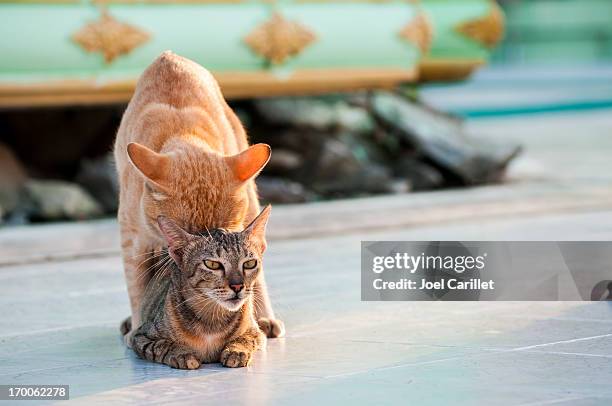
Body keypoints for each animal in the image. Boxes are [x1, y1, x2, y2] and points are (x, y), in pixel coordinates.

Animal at [113, 49, 284, 344]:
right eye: (181, 233)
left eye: (222, 232)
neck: (183, 131)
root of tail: (168, 55)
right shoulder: (133, 239)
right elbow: (138, 287)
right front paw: (138, 326)